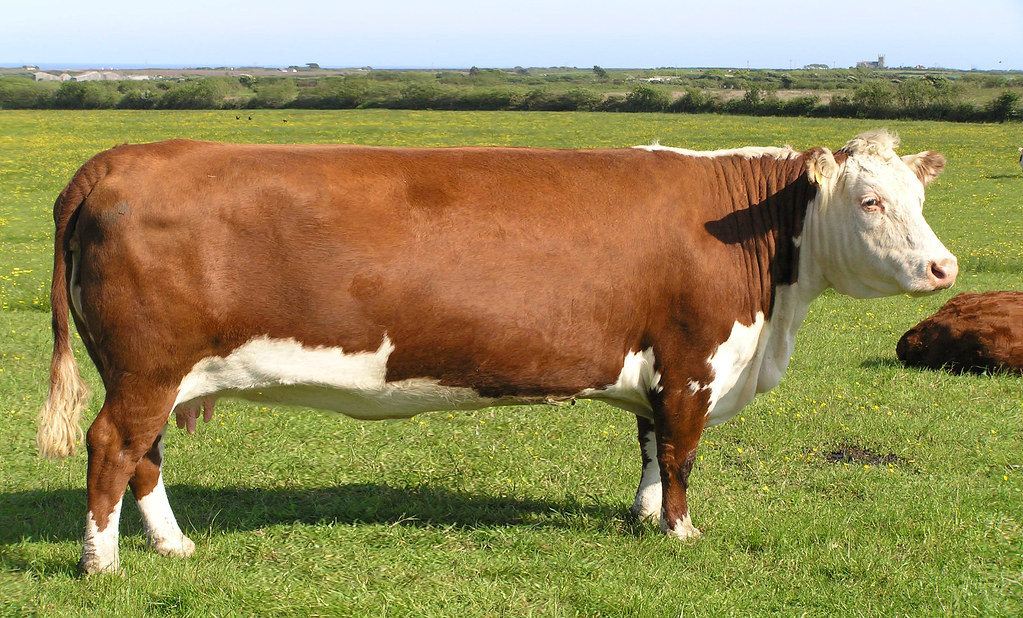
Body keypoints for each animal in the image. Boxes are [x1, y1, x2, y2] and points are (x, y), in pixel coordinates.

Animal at [36, 130, 958, 574]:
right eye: (870, 202)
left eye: (918, 198)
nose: (943, 267)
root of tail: (126, 158)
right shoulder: (694, 359)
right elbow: (683, 452)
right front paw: (680, 531)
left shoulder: (655, 365)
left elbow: (648, 444)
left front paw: (641, 515)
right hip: (145, 368)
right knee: (111, 447)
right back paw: (102, 563)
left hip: (154, 374)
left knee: (145, 456)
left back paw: (171, 546)